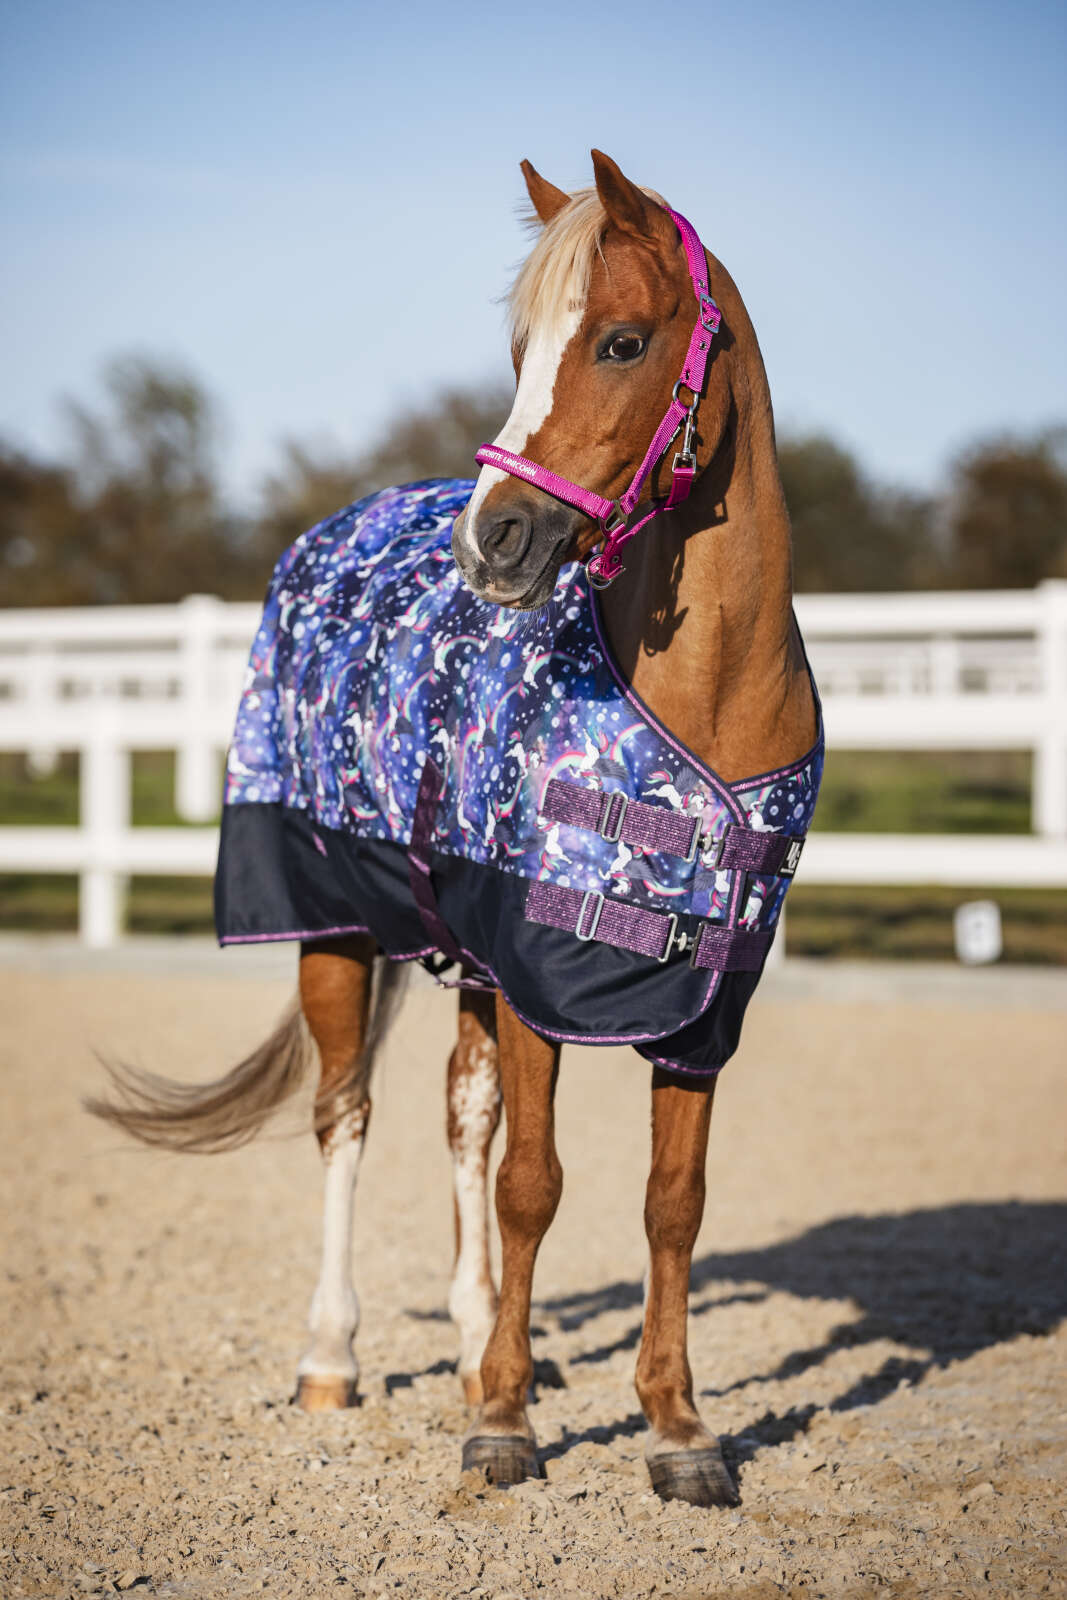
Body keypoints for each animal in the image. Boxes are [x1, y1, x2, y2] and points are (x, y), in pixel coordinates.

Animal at [88, 149, 821, 1509]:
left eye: (621, 341)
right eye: (520, 346)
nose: (495, 539)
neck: (702, 703)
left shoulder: (699, 1002)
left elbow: (670, 1200)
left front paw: (675, 1427)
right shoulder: (538, 970)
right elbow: (535, 1184)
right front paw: (500, 1424)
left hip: (462, 954)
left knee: (459, 1117)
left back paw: (485, 1332)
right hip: (329, 925)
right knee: (347, 1116)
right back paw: (335, 1357)